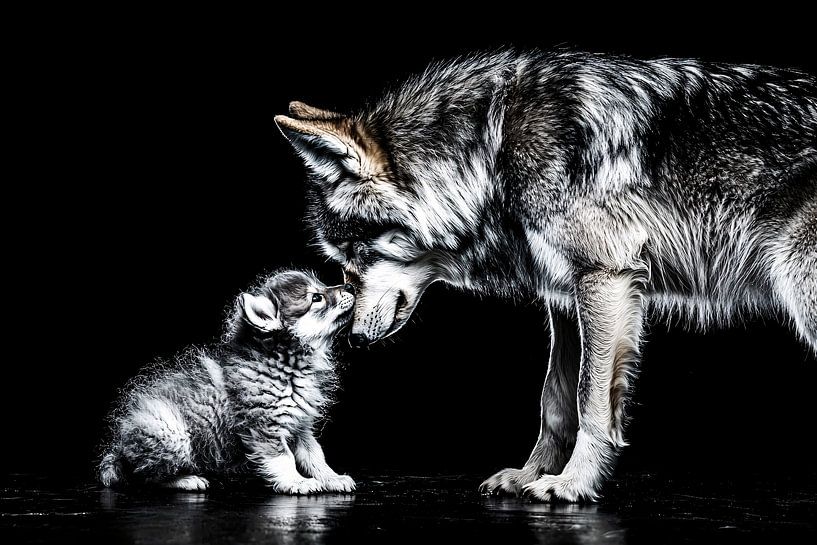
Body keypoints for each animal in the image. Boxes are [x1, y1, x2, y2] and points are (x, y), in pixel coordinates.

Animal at [99, 270, 357, 493]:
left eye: (322, 286)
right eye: (316, 298)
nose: (351, 286)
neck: (285, 364)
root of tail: (120, 449)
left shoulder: (300, 426)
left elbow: (316, 456)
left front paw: (332, 477)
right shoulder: (263, 427)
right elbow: (284, 458)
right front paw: (296, 481)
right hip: (171, 431)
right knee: (145, 477)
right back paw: (186, 479)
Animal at [274, 49, 816, 502]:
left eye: (353, 254)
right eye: (340, 261)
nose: (355, 339)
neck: (490, 154)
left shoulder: (606, 278)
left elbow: (590, 399)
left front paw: (573, 484)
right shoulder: (565, 296)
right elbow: (555, 400)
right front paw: (530, 475)